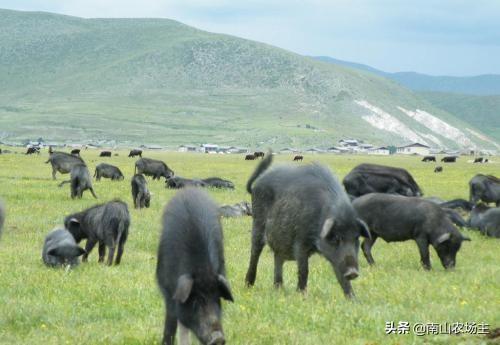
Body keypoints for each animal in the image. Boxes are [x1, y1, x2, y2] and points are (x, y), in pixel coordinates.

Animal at [156, 188, 234, 344]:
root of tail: (190, 190)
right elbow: (172, 323)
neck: (202, 270)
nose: (218, 337)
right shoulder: (168, 290)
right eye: (196, 302)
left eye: (217, 299)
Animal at [244, 152, 370, 296]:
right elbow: (304, 269)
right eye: (337, 238)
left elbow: (341, 275)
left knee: (278, 260)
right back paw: (248, 286)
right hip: (257, 224)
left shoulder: (336, 256)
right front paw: (302, 295)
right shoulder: (300, 241)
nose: (353, 272)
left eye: (356, 238)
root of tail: (255, 186)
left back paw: (279, 289)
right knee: (255, 253)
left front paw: (353, 298)